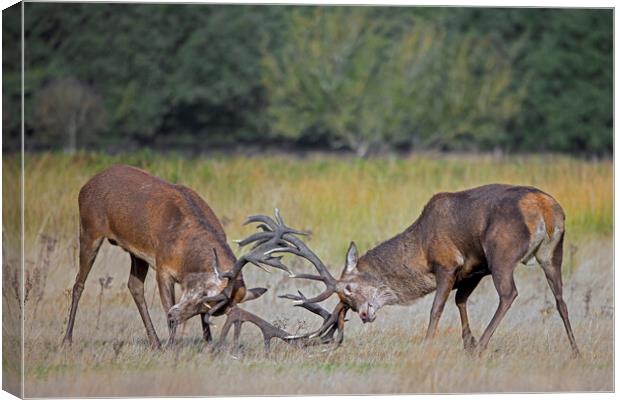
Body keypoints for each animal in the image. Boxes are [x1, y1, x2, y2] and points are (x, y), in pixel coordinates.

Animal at [60, 164, 326, 348]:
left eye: (210, 307)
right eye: (205, 296)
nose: (175, 314)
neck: (184, 250)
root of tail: (85, 185)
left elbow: (201, 323)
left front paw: (206, 345)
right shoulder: (163, 266)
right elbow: (167, 303)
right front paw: (172, 346)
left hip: (135, 252)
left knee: (134, 286)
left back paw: (154, 342)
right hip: (89, 228)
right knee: (79, 283)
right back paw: (67, 340)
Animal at [258, 183, 580, 354]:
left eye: (348, 289)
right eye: (344, 301)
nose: (364, 315)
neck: (421, 250)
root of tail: (546, 208)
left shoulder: (447, 263)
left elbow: (437, 308)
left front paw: (431, 344)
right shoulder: (474, 269)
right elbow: (461, 300)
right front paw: (466, 342)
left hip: (501, 251)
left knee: (509, 293)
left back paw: (483, 346)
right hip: (552, 253)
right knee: (560, 299)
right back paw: (575, 350)